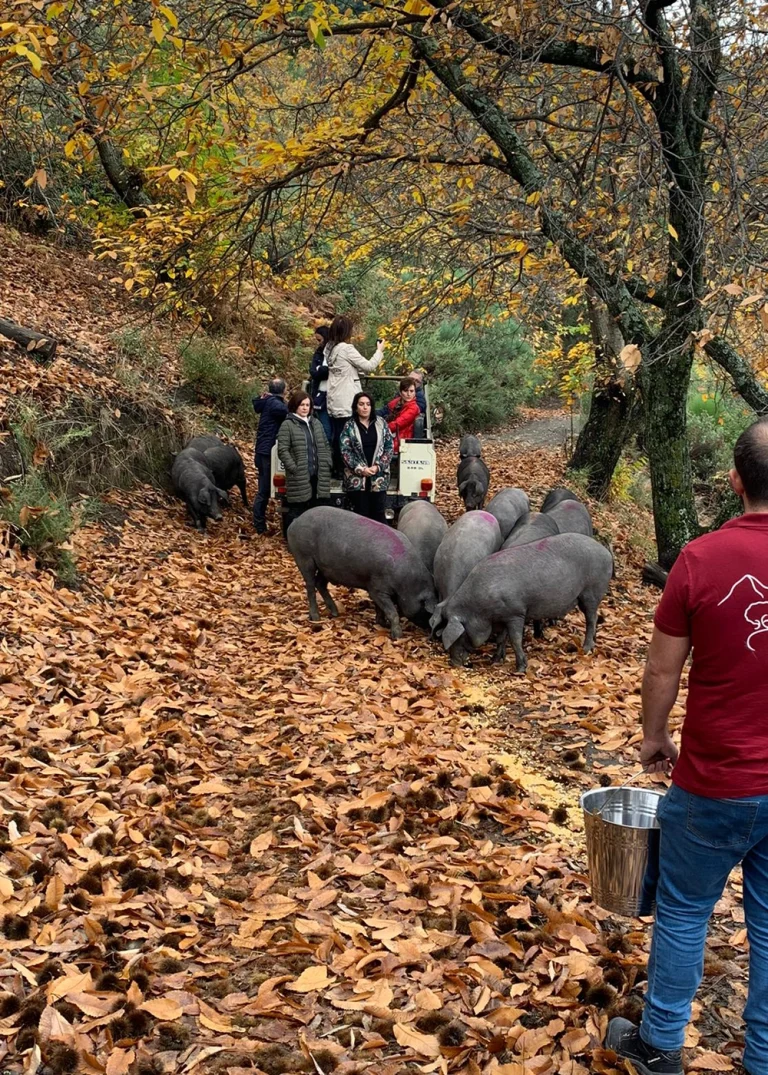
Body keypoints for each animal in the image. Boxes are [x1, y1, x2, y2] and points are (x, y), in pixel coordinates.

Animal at [286, 507, 436, 639]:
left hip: (325, 568)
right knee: (310, 585)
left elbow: (380, 608)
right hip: (303, 557)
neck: (407, 583)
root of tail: (295, 521)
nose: (429, 630)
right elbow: (391, 612)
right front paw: (397, 636)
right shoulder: (377, 588)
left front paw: (382, 624)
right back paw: (316, 617)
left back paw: (335, 613)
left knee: (320, 584)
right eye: (426, 611)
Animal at [430, 533, 613, 672]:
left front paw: (520, 669)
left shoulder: (516, 613)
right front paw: (495, 660)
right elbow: (501, 638)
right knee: (594, 618)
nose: (454, 663)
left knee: (591, 619)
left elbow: (515, 639)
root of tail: (605, 552)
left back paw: (586, 649)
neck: (481, 610)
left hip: (591, 592)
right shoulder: (502, 616)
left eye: (459, 635)